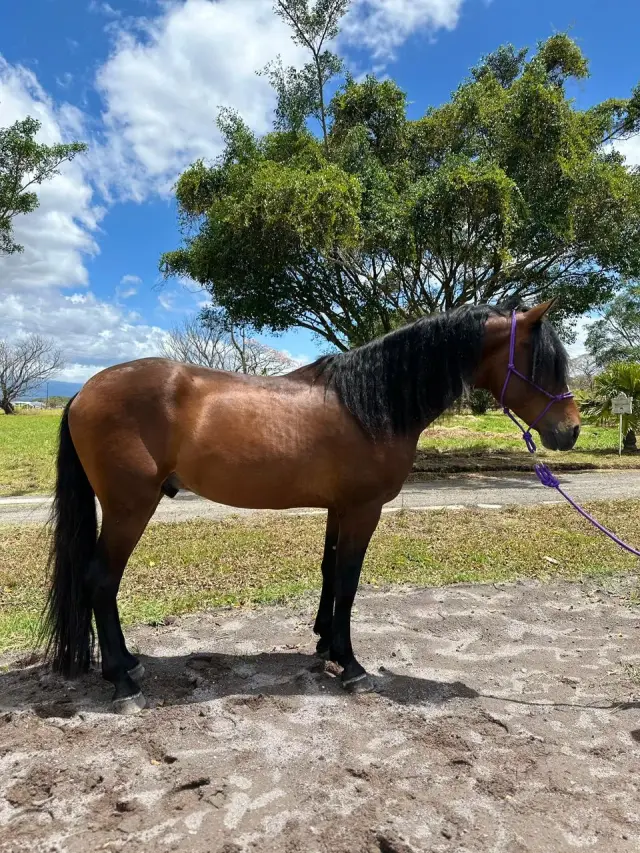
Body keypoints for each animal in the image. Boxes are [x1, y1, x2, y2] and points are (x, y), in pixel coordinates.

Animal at [40, 301, 580, 714]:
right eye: (540, 364)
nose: (570, 431)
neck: (370, 405)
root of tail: (83, 391)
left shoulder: (338, 509)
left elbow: (328, 572)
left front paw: (324, 645)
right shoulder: (363, 510)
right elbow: (348, 581)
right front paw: (352, 666)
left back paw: (129, 664)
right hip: (129, 508)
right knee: (100, 581)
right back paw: (123, 683)